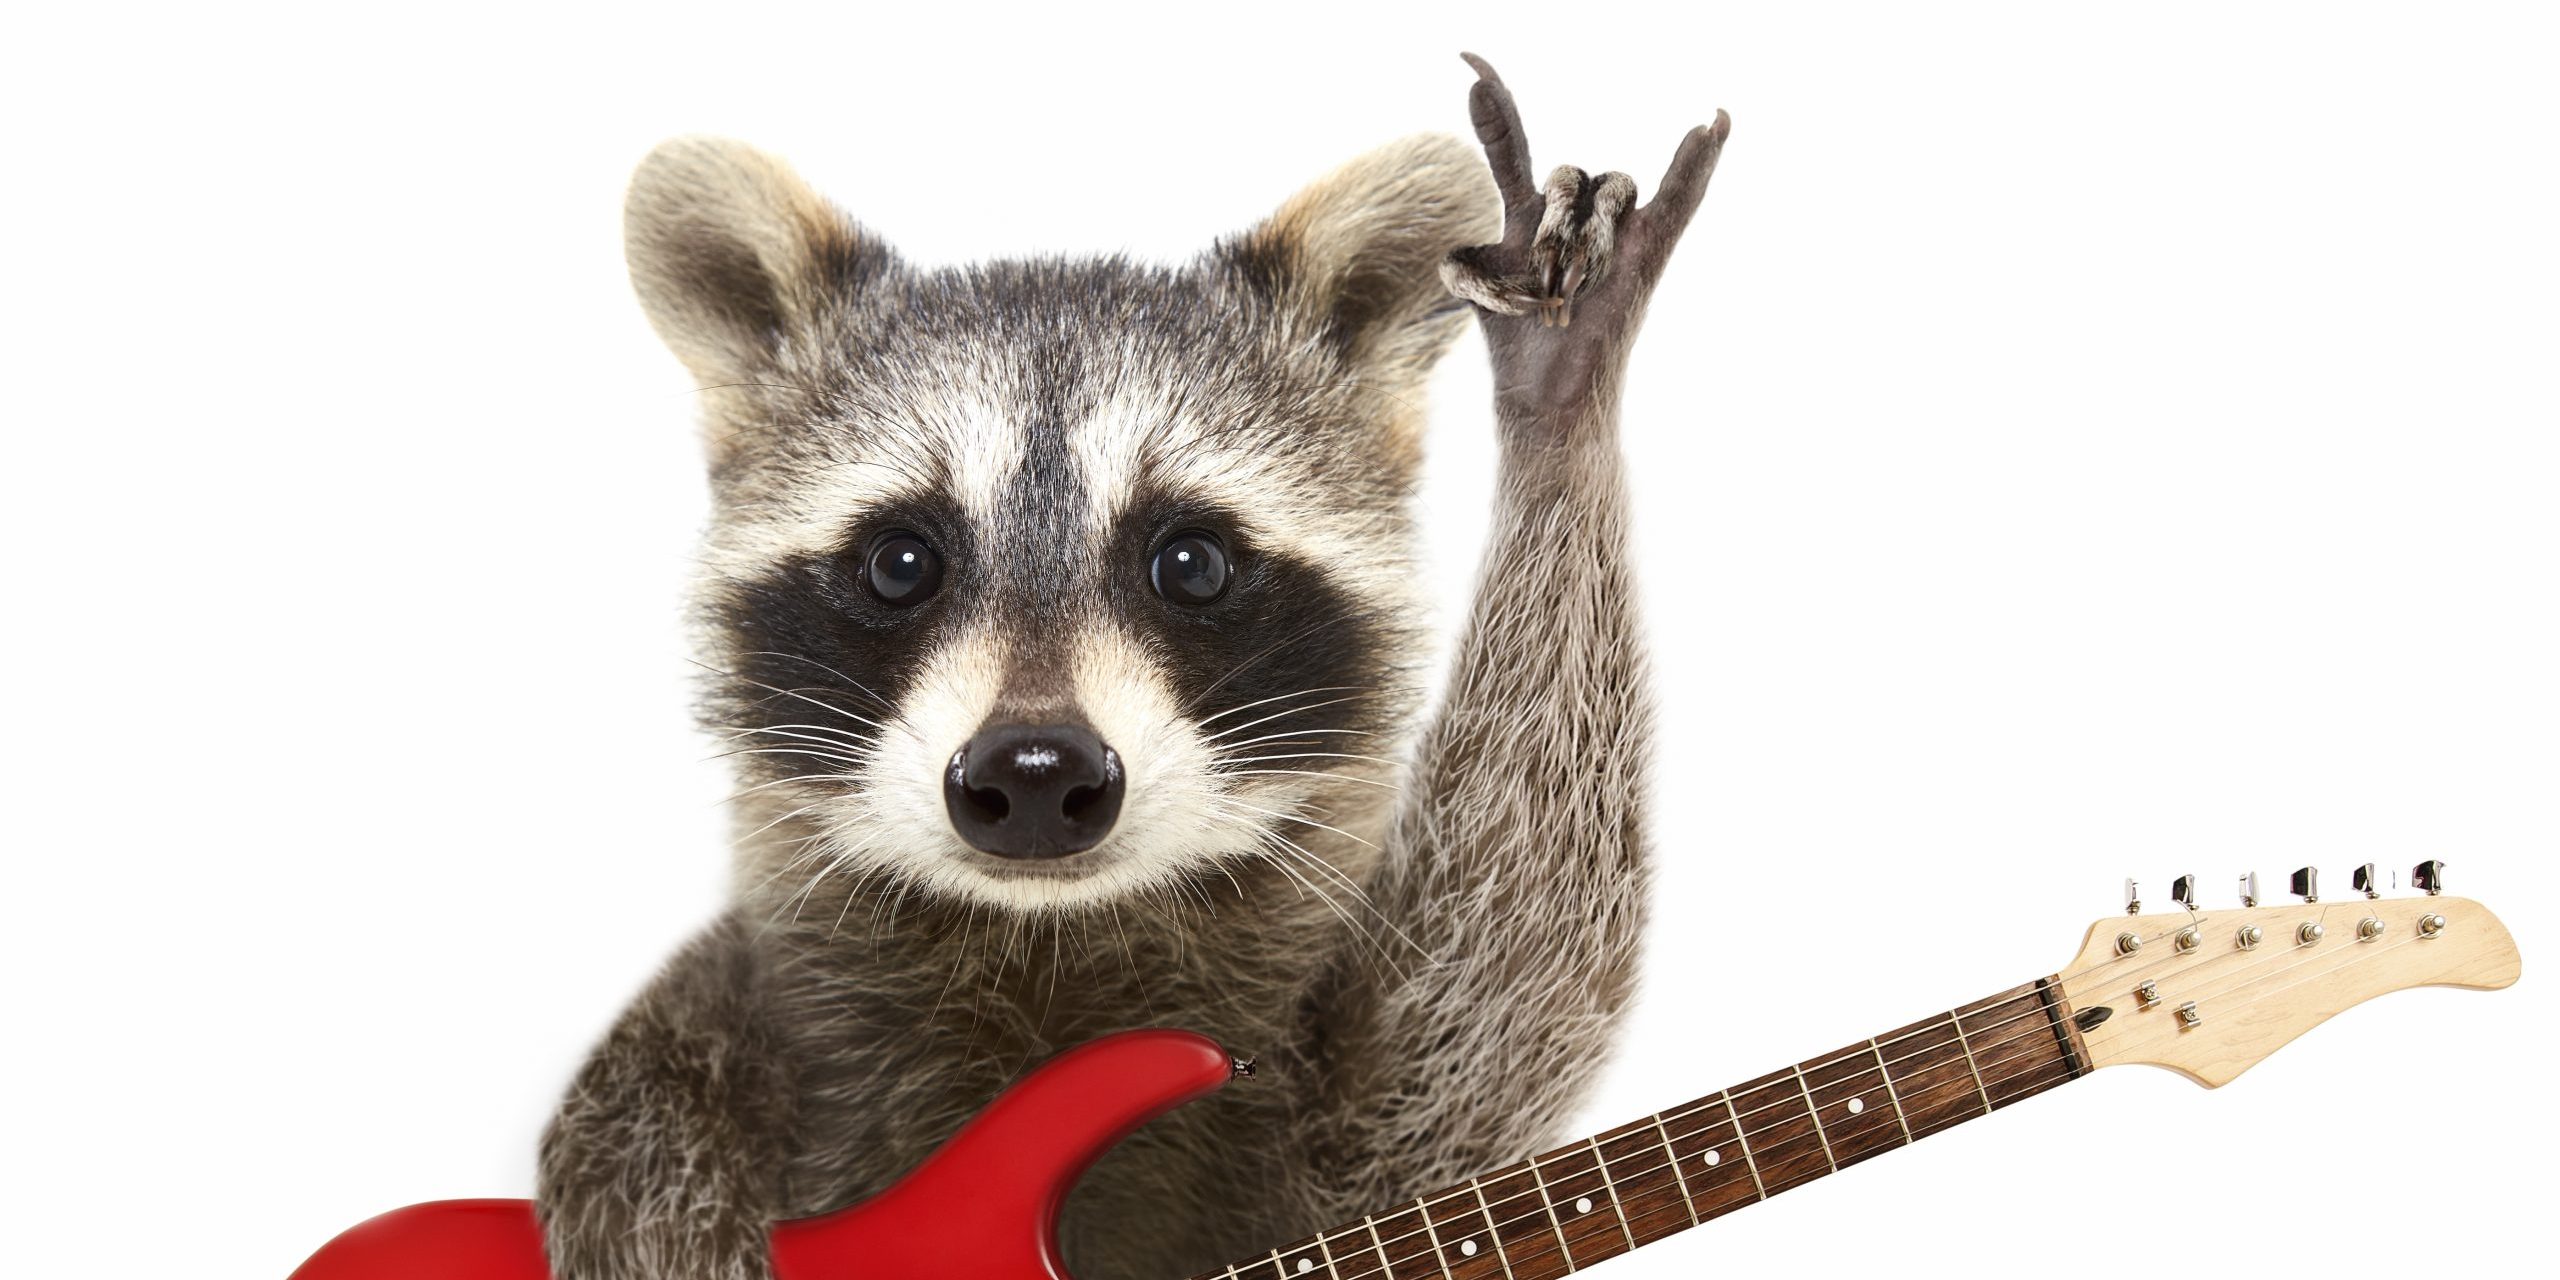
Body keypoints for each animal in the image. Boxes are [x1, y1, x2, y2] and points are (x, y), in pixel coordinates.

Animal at [537, 57, 1728, 1280]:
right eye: (900, 561)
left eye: (1190, 562)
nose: (1033, 773)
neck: (1045, 937)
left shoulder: (1346, 1140)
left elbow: (1495, 1000)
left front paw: (1560, 400)